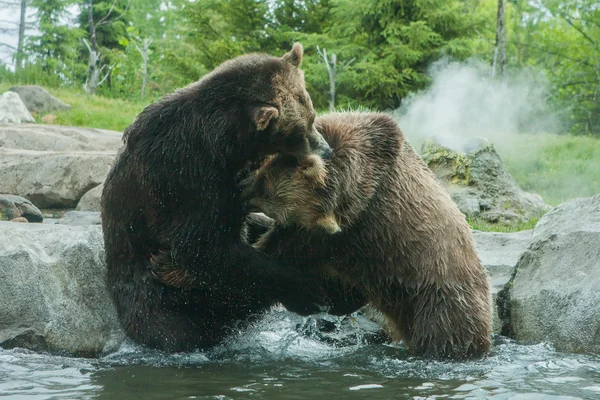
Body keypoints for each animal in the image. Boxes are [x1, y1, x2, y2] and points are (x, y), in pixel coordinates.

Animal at [99, 42, 332, 352]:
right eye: (300, 130)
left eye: (312, 115)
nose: (327, 150)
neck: (227, 143)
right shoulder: (187, 171)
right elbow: (201, 245)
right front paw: (306, 288)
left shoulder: (236, 176)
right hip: (154, 302)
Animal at [240, 111, 492, 360]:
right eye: (261, 176)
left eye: (264, 188)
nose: (242, 195)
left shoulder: (345, 228)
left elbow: (284, 249)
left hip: (438, 297)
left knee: (443, 332)